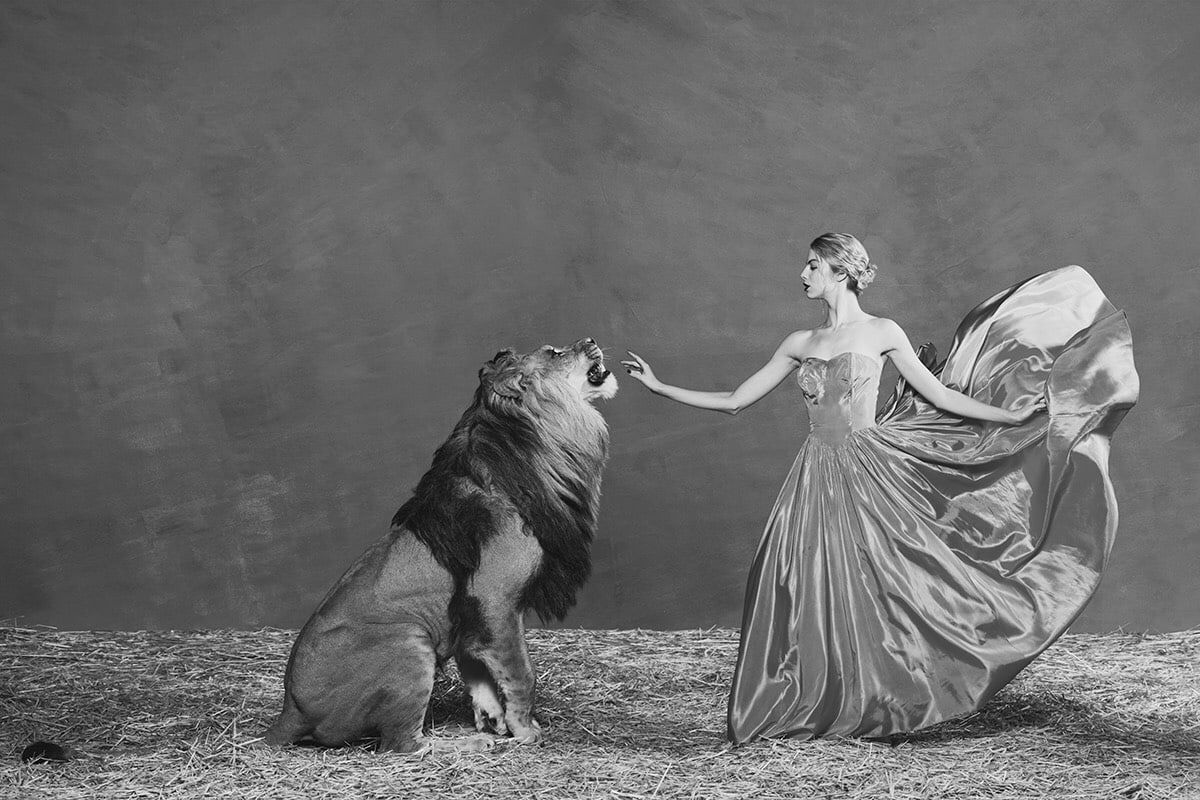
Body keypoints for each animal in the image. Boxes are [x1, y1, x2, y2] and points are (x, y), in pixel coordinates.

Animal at [262, 338, 617, 754]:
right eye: (555, 352)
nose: (591, 340)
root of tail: (291, 709)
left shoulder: (470, 617)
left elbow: (481, 675)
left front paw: (493, 719)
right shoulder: (494, 598)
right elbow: (522, 673)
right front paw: (525, 730)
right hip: (409, 642)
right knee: (402, 745)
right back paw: (468, 745)